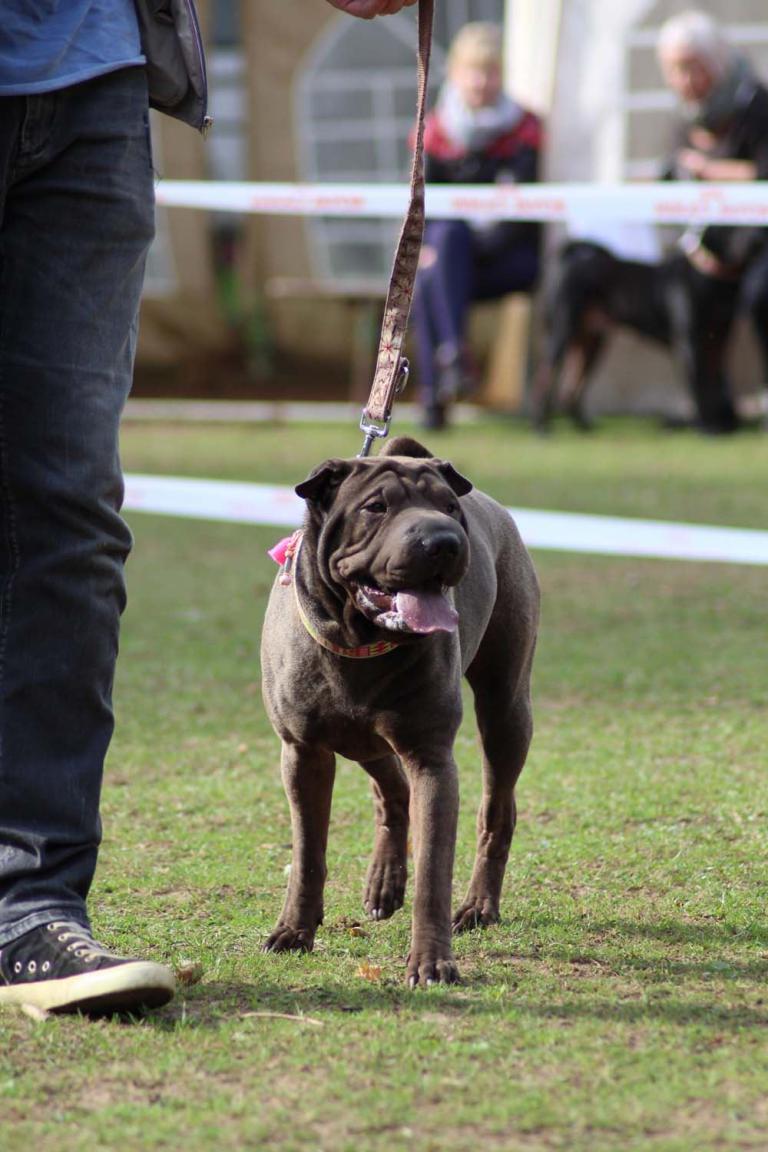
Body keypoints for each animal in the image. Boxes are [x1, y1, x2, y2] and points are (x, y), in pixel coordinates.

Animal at [260, 436, 539, 986]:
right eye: (375, 507)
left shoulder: (431, 756)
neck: (360, 640)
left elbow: (434, 868)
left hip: (505, 709)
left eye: (448, 507)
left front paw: (432, 962)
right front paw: (295, 930)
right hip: (360, 739)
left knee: (496, 810)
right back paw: (384, 883)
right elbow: (307, 853)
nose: (445, 541)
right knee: (391, 789)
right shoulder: (302, 752)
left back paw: (479, 904)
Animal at [530, 240, 741, 434]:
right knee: (545, 375)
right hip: (562, 333)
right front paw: (707, 427)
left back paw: (580, 424)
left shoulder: (716, 344)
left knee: (572, 384)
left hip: (591, 342)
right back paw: (541, 425)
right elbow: (700, 386)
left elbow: (711, 386)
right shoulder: (690, 344)